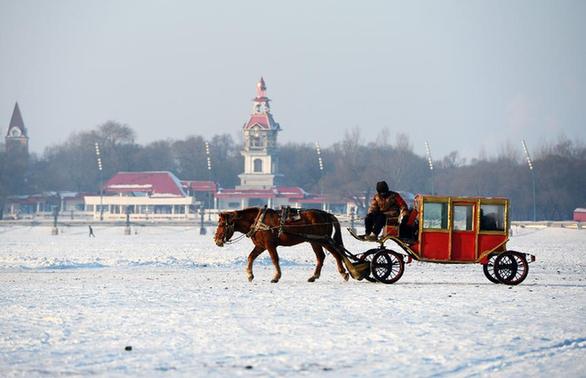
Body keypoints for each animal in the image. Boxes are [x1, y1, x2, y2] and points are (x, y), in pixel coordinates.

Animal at [217, 207, 350, 284]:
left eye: (222, 224)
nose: (216, 239)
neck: (257, 221)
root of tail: (326, 214)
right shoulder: (261, 246)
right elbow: (251, 257)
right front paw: (250, 274)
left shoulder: (269, 245)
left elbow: (274, 259)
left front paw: (276, 277)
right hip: (314, 241)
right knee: (321, 257)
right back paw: (314, 276)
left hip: (324, 240)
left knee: (336, 253)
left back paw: (343, 272)